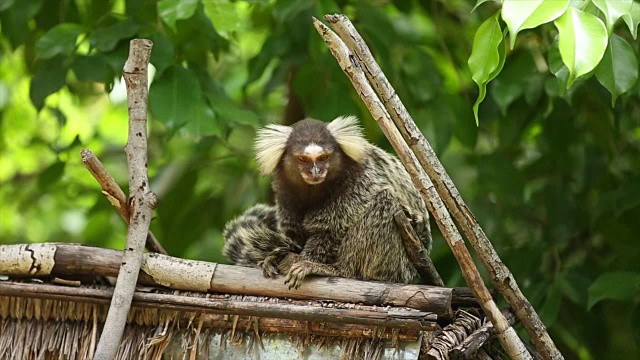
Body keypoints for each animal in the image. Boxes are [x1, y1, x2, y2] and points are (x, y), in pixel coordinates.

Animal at [222, 116, 432, 288]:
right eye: (303, 159)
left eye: (323, 157)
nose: (316, 171)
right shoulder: (285, 192)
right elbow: (296, 234)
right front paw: (278, 255)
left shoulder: (359, 181)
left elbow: (331, 230)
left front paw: (303, 262)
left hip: (399, 266)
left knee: (385, 201)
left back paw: (341, 270)